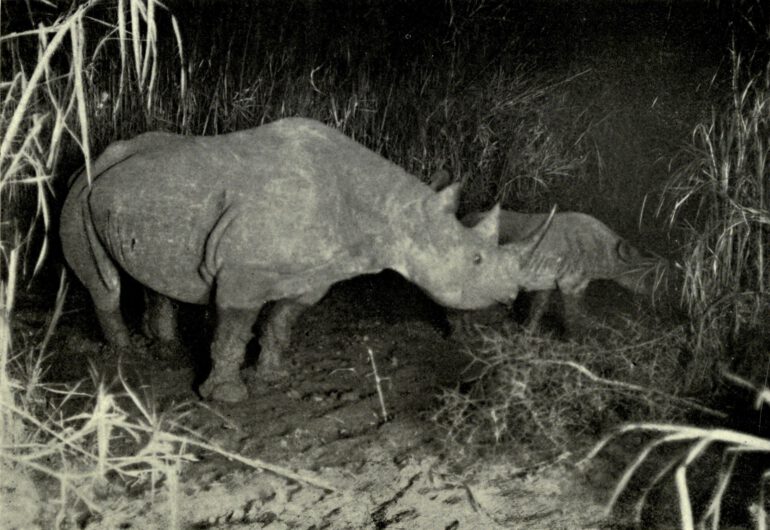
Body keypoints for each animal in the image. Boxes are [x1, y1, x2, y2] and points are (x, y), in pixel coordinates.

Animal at [60, 118, 554, 402]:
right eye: (476, 260)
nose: (511, 296)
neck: (392, 211)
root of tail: (97, 158)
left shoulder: (315, 273)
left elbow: (282, 322)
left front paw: (272, 378)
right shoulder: (244, 272)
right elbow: (234, 328)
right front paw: (226, 396)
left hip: (143, 195)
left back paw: (160, 346)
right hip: (80, 190)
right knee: (103, 281)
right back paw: (124, 357)